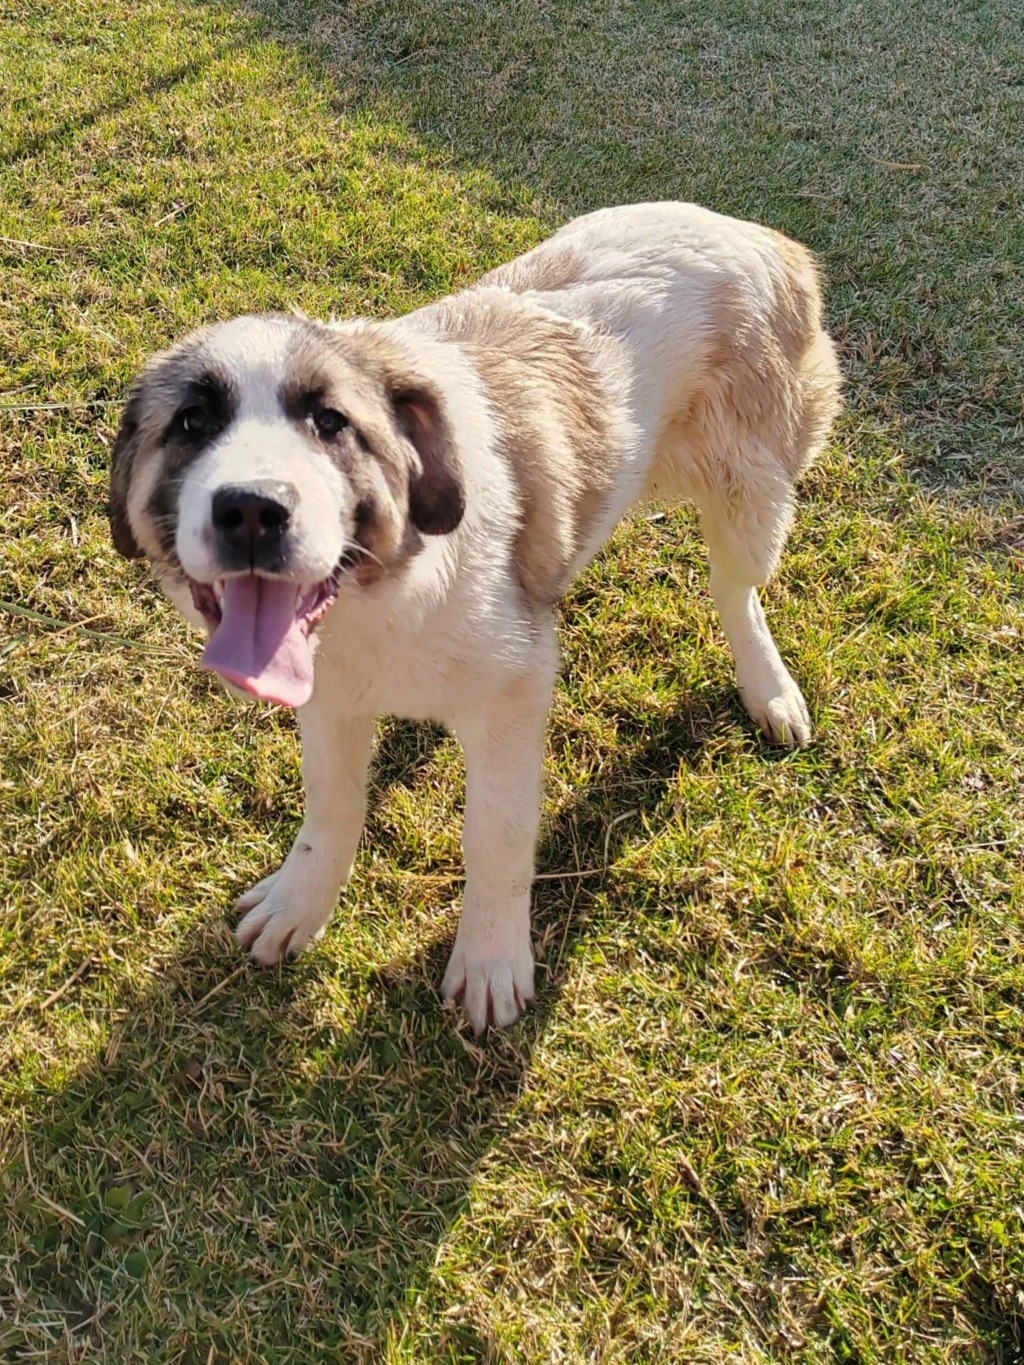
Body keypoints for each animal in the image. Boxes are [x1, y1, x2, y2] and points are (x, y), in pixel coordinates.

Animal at [108, 199, 841, 1031]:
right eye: (191, 424)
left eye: (331, 423)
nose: (253, 510)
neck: (381, 595)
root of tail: (756, 232)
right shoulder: (330, 699)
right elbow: (331, 808)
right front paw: (302, 902)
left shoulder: (512, 698)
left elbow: (495, 832)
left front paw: (491, 956)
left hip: (751, 490)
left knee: (733, 590)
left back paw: (769, 689)